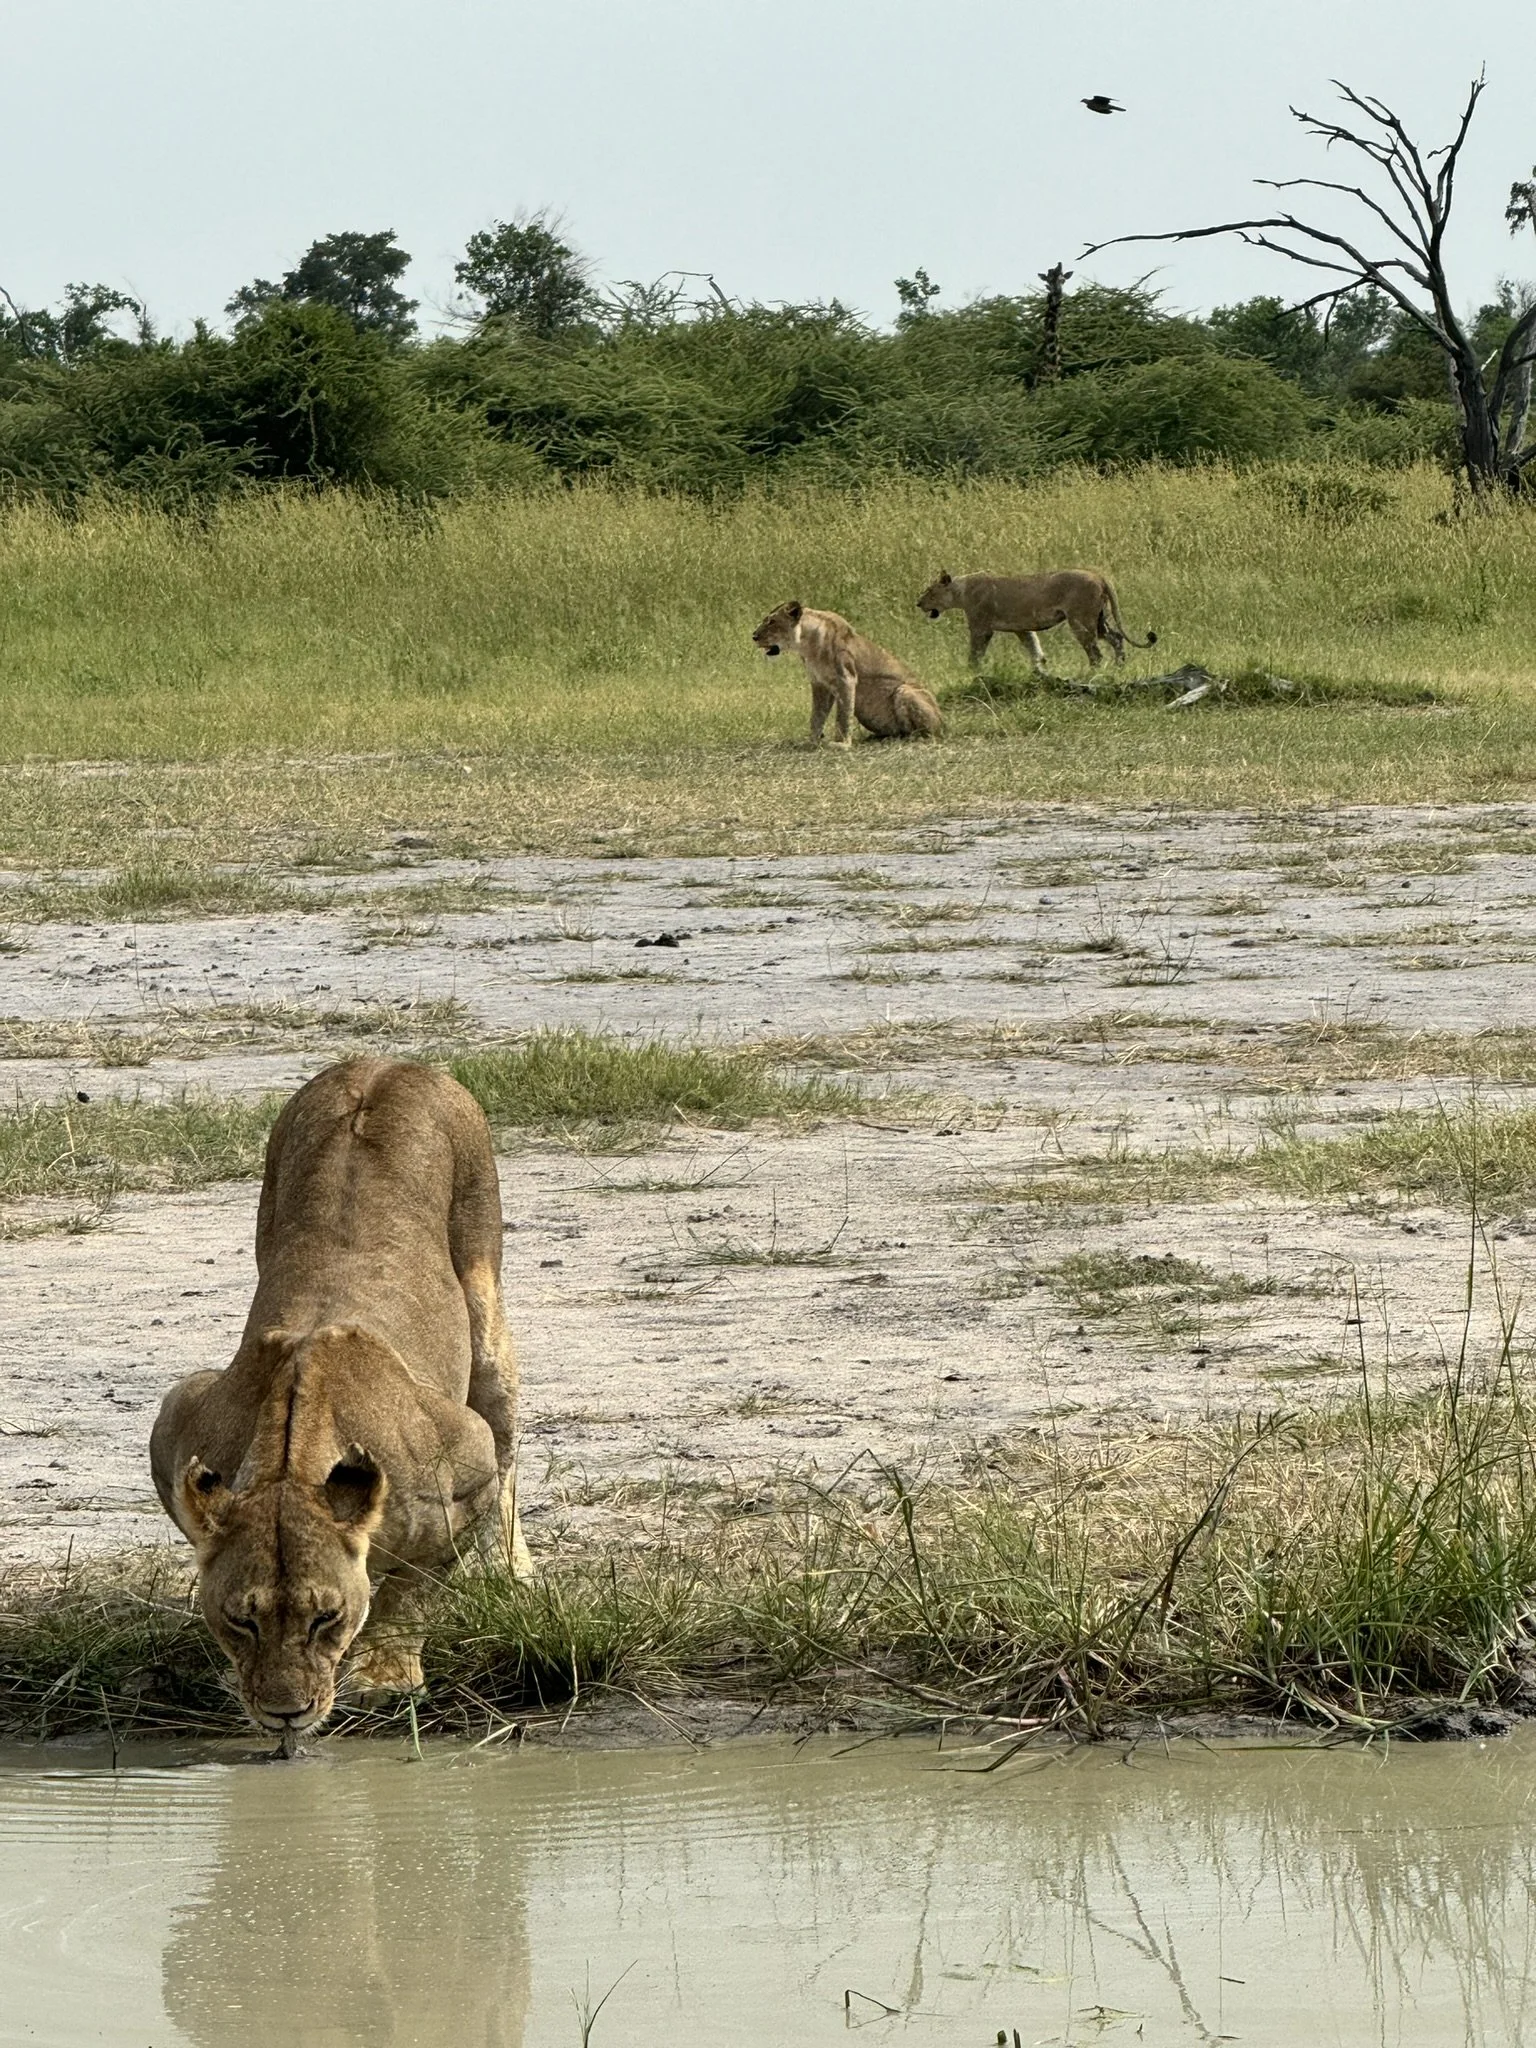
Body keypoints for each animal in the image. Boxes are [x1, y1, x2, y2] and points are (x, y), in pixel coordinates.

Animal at [150, 1057, 529, 1744]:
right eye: (241, 1621)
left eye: (325, 1619)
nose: (284, 1714)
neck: (292, 1451)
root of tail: (384, 1062)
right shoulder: (177, 1422)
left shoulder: (469, 1464)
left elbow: (414, 1586)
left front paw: (385, 1677)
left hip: (484, 1296)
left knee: (507, 1433)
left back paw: (514, 1573)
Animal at [753, 601, 942, 745]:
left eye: (771, 622)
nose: (753, 636)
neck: (807, 645)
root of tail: (945, 724)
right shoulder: (819, 683)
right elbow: (817, 715)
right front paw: (812, 741)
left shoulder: (846, 679)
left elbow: (843, 715)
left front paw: (841, 744)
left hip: (905, 691)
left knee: (926, 733)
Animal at [917, 569, 1156, 673]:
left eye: (929, 591)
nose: (918, 603)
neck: (961, 591)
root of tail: (1099, 575)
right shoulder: (1022, 628)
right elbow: (1034, 648)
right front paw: (1040, 668)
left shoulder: (980, 627)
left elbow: (975, 653)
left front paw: (970, 671)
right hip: (1098, 620)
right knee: (1116, 638)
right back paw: (1119, 667)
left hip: (1080, 620)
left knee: (1096, 653)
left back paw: (1092, 674)